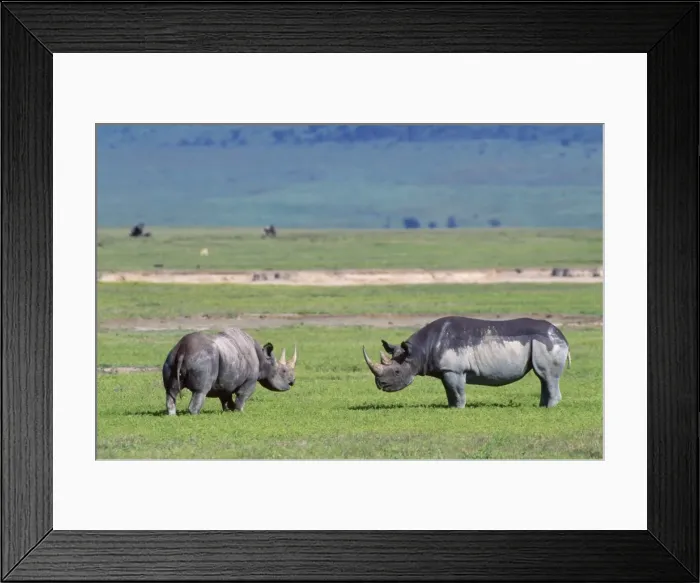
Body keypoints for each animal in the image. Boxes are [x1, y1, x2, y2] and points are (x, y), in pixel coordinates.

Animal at [162, 327, 297, 415]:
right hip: (203, 359)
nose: (293, 381)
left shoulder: (226, 380)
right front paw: (240, 412)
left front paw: (228, 411)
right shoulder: (250, 380)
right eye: (283, 371)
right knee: (200, 391)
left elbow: (226, 398)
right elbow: (243, 395)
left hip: (171, 358)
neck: (263, 358)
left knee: (171, 391)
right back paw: (195, 414)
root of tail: (182, 350)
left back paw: (172, 415)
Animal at [362, 316, 571, 408]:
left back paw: (549, 408)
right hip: (543, 343)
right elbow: (449, 392)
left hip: (548, 342)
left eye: (397, 372)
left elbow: (457, 391)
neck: (419, 351)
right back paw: (542, 406)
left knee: (547, 376)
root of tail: (563, 336)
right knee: (544, 378)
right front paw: (451, 408)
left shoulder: (454, 370)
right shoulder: (446, 371)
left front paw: (459, 409)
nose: (381, 384)